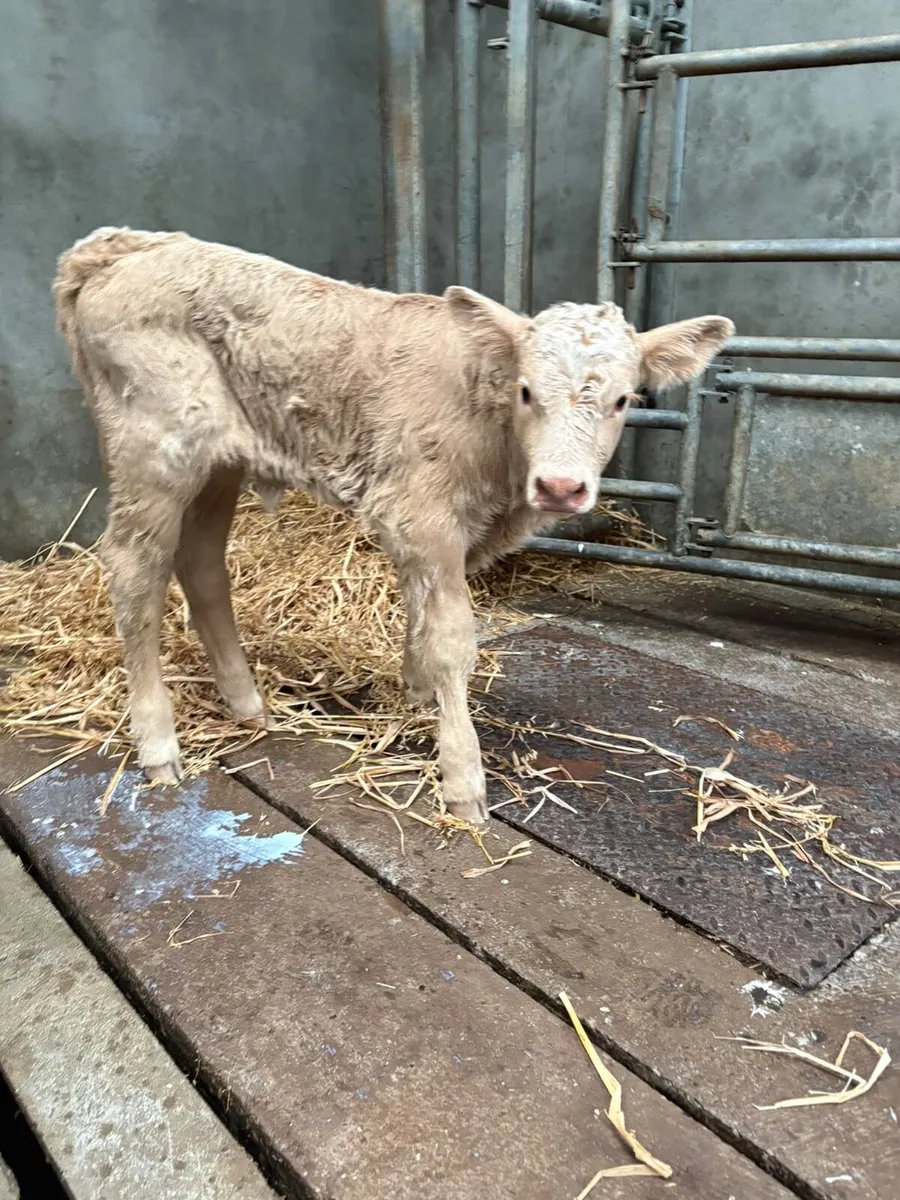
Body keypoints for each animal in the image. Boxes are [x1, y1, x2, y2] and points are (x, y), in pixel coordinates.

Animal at [53, 228, 734, 823]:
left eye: (623, 399)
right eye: (526, 391)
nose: (561, 487)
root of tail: (127, 246)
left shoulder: (436, 532)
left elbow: (420, 614)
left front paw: (417, 692)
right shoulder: (424, 515)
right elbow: (452, 638)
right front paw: (463, 779)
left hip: (220, 462)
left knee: (200, 565)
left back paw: (247, 706)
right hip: (154, 452)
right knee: (134, 574)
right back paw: (158, 745)